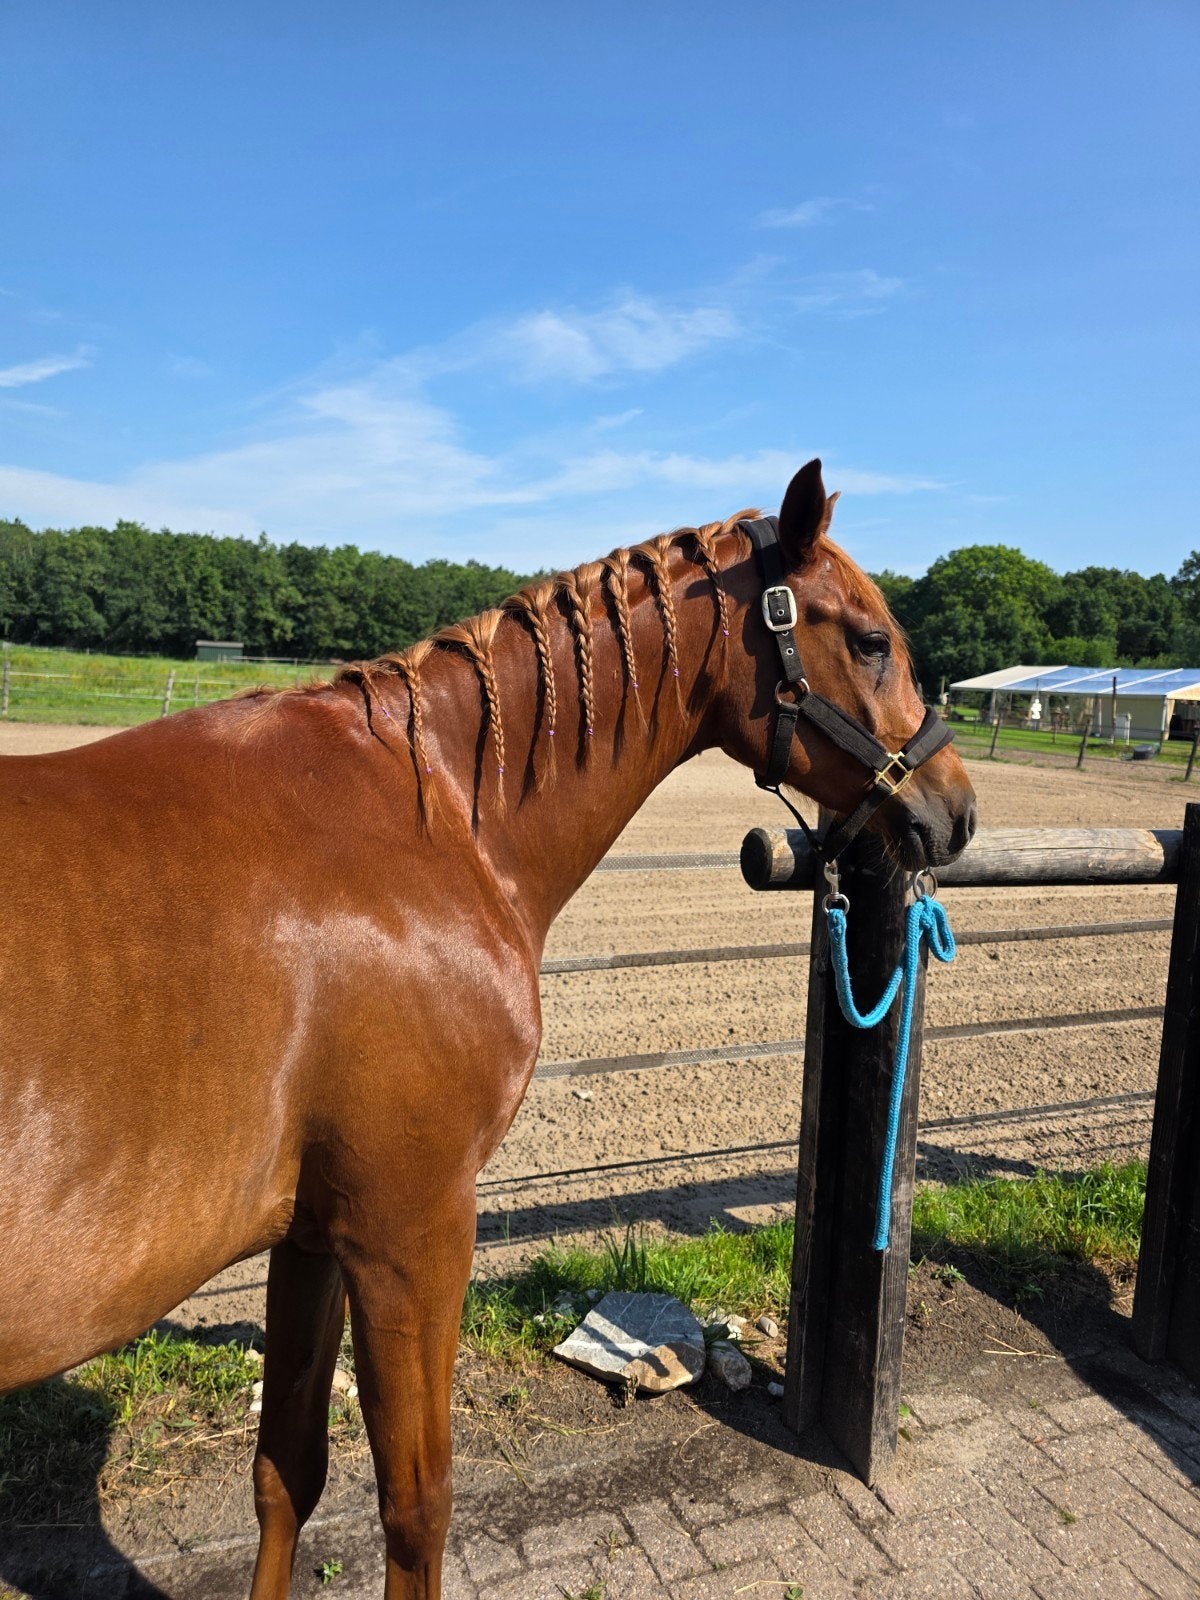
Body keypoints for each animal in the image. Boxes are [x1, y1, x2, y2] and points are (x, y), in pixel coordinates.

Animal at [0, 460, 976, 1598]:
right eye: (868, 640)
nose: (957, 809)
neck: (428, 821)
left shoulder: (312, 1232)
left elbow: (285, 1471)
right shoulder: (409, 1232)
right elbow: (418, 1503)